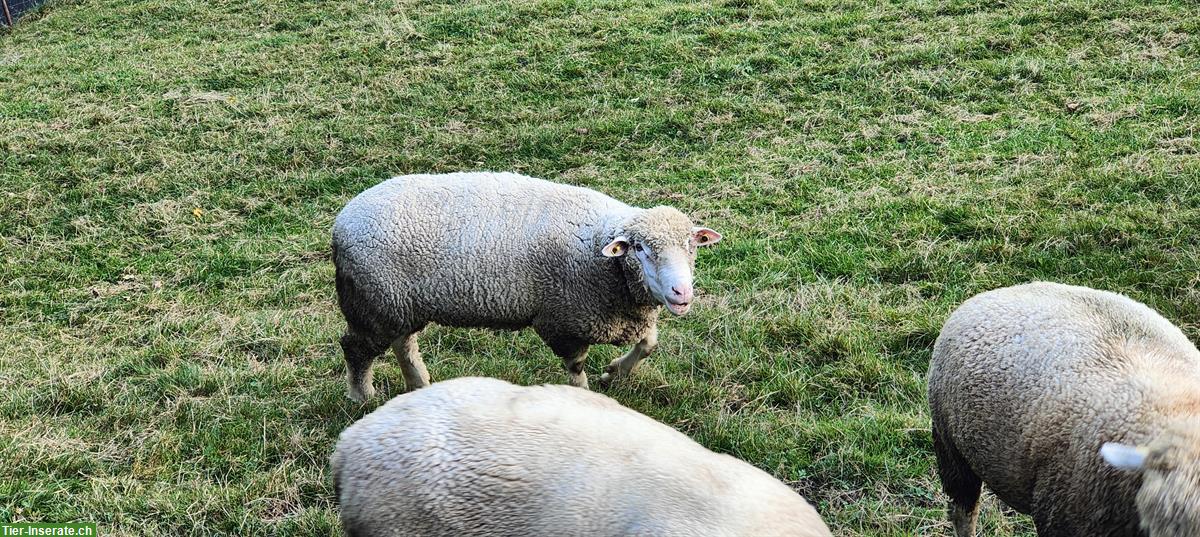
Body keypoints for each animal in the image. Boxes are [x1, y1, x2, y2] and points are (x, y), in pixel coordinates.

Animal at [331, 170, 720, 400]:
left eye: (692, 246)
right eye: (640, 248)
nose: (681, 293)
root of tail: (341, 223)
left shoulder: (627, 313)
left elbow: (649, 344)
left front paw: (615, 372)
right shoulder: (562, 320)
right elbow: (576, 368)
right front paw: (587, 394)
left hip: (396, 303)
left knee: (403, 342)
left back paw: (418, 384)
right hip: (372, 301)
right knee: (356, 349)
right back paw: (362, 397)